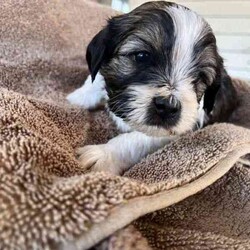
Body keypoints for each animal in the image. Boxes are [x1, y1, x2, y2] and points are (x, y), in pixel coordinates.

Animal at [67, 0, 236, 175]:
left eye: (200, 77)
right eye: (141, 56)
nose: (168, 106)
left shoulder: (179, 130)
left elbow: (138, 139)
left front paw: (103, 154)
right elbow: (96, 79)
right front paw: (77, 98)